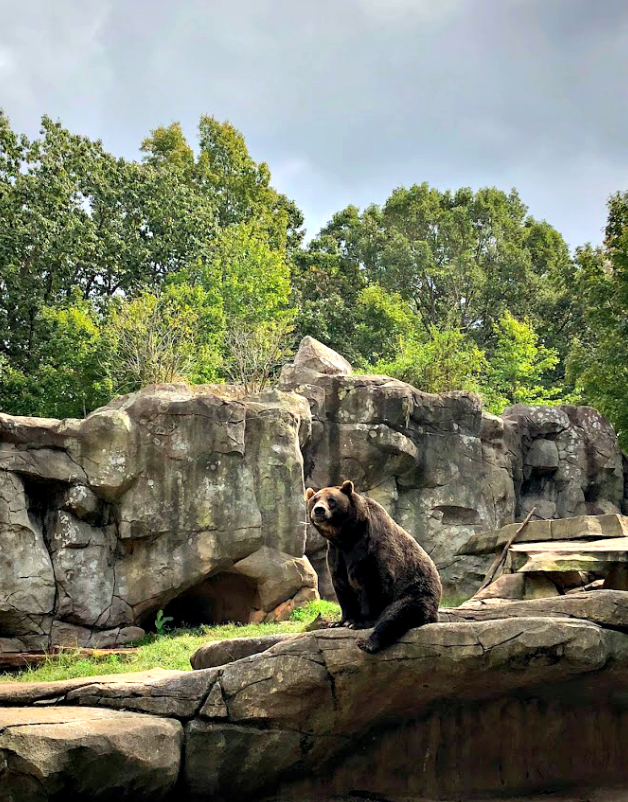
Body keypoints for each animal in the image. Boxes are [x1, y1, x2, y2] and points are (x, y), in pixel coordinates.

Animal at [306, 478, 442, 652]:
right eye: (314, 500)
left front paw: (359, 622)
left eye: (332, 500)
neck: (347, 536)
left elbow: (374, 583)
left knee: (397, 614)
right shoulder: (337, 554)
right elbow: (342, 586)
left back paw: (367, 643)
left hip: (416, 593)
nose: (319, 510)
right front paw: (339, 621)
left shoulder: (369, 547)